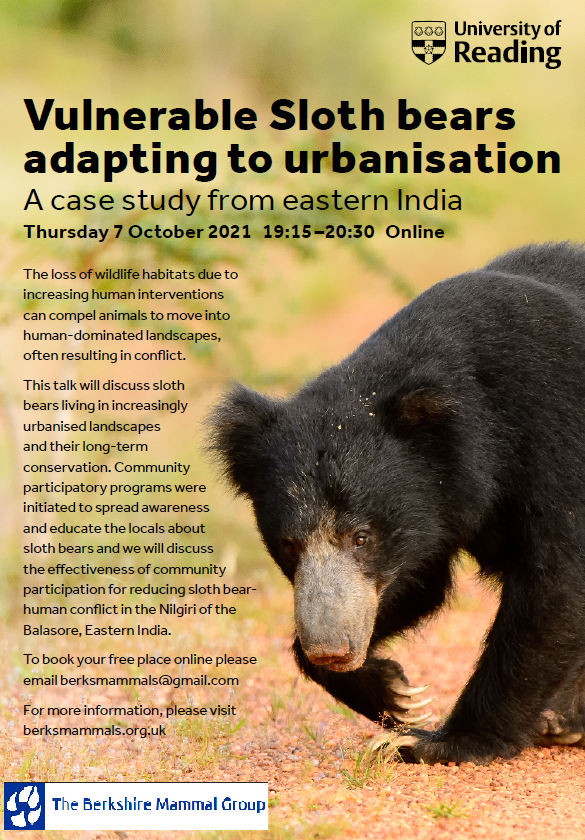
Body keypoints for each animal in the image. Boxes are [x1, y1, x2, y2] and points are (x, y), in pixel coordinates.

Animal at [208, 242, 585, 764]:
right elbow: (421, 582)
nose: (331, 649)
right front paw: (392, 692)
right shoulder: (434, 510)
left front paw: (438, 740)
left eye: (361, 537)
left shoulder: (555, 436)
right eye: (289, 546)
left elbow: (556, 582)